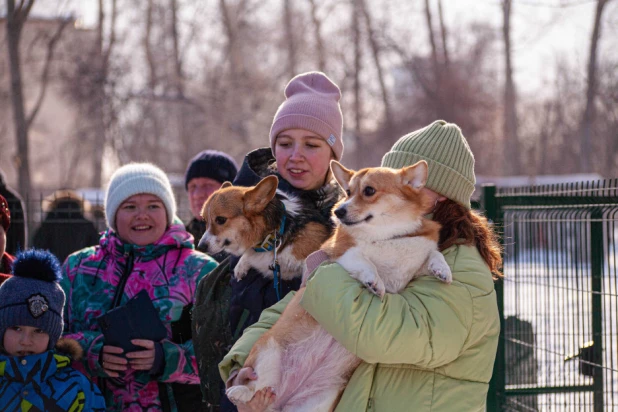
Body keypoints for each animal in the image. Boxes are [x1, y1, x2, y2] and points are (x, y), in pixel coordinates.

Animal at [224, 159, 450, 410]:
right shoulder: (338, 253)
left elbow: (433, 254)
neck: (388, 236)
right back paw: (238, 392)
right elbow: (362, 258)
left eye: (369, 190)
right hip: (268, 353)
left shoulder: (415, 263)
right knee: (253, 388)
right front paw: (374, 281)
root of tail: (282, 397)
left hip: (319, 401)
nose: (338, 211)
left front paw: (443, 270)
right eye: (348, 192)